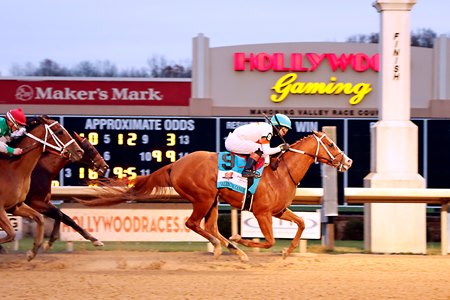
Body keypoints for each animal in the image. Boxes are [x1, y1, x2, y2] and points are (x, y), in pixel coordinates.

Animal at [0, 116, 84, 262]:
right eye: (60, 131)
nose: (79, 151)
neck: (13, 169)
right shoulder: (2, 208)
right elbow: (11, 234)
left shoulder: (15, 206)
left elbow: (40, 218)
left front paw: (32, 252)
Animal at [78, 130, 352, 262]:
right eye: (331, 144)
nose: (348, 161)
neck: (281, 172)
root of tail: (175, 164)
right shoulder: (262, 213)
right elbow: (269, 240)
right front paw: (241, 238)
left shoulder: (279, 210)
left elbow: (302, 223)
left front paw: (287, 252)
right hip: (203, 197)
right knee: (193, 223)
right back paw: (227, 246)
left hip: (212, 200)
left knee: (209, 226)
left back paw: (230, 249)